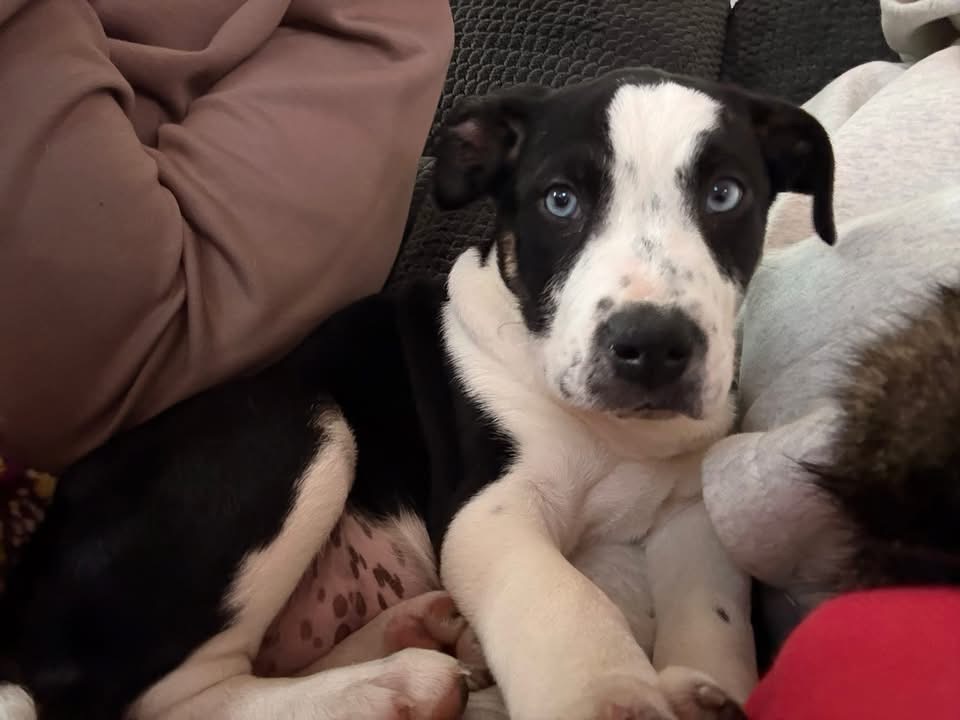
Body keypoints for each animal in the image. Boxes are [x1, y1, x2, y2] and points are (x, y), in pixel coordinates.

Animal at [0, 67, 835, 720]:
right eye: (560, 201)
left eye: (726, 195)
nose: (653, 346)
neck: (613, 433)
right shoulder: (489, 512)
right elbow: (566, 602)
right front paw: (611, 698)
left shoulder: (690, 514)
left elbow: (717, 624)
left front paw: (707, 692)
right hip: (294, 422)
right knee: (159, 697)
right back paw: (390, 686)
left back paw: (409, 636)